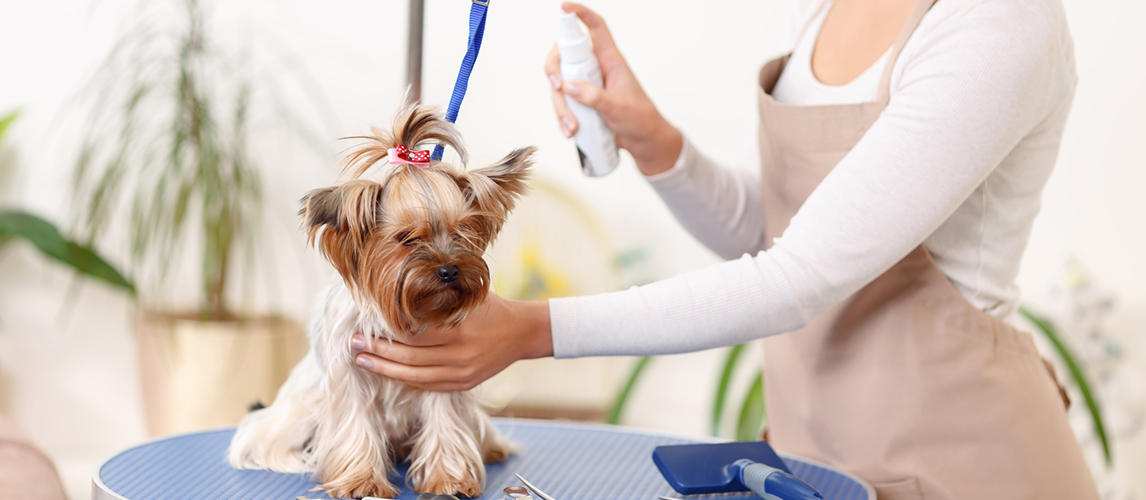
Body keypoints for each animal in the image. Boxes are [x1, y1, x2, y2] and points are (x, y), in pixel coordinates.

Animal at [232, 103, 536, 497]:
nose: (449, 271)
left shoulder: (444, 373)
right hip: (291, 418)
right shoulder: (349, 371)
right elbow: (355, 424)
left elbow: (445, 423)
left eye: (462, 232)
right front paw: (361, 481)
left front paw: (449, 478)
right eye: (406, 238)